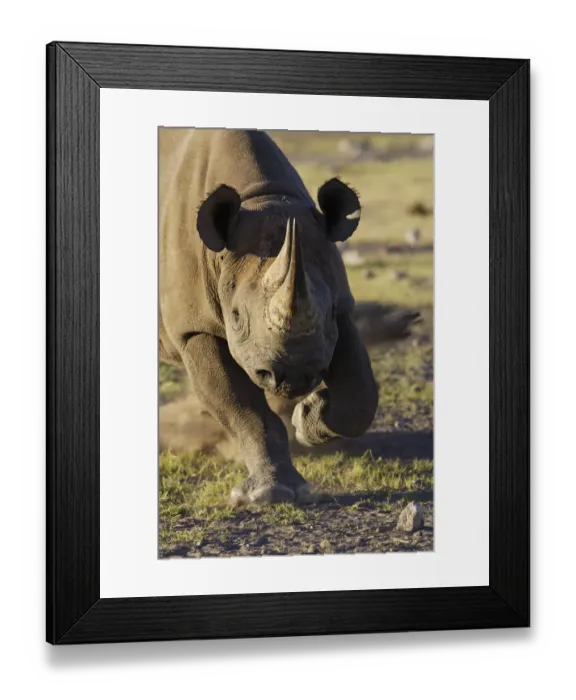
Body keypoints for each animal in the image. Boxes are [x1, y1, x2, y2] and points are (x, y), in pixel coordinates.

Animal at [160, 129, 404, 505]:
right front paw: (269, 494)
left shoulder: (340, 308)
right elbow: (244, 409)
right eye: (235, 317)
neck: (263, 198)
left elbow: (360, 395)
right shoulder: (193, 327)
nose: (294, 377)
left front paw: (307, 418)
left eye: (328, 312)